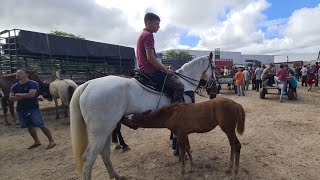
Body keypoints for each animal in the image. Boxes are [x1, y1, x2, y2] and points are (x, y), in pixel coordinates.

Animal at [69, 52, 215, 179]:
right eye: (213, 67)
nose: (214, 85)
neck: (185, 85)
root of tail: (87, 84)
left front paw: (177, 152)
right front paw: (182, 155)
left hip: (106, 129)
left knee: (104, 152)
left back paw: (116, 174)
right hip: (100, 131)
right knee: (88, 158)